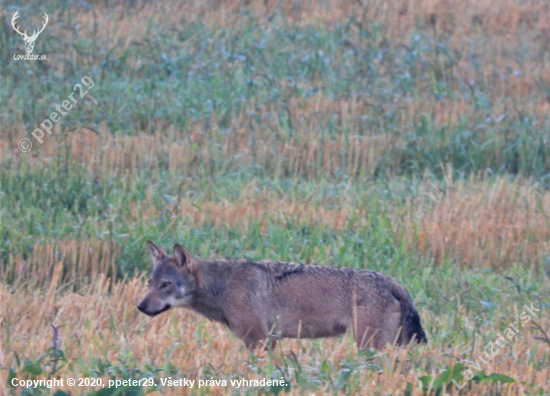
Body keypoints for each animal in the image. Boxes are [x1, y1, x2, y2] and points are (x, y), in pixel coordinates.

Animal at [136, 241, 430, 350]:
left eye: (166, 284)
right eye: (150, 283)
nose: (140, 306)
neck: (225, 286)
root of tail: (396, 284)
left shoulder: (258, 340)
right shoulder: (268, 340)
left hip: (369, 346)